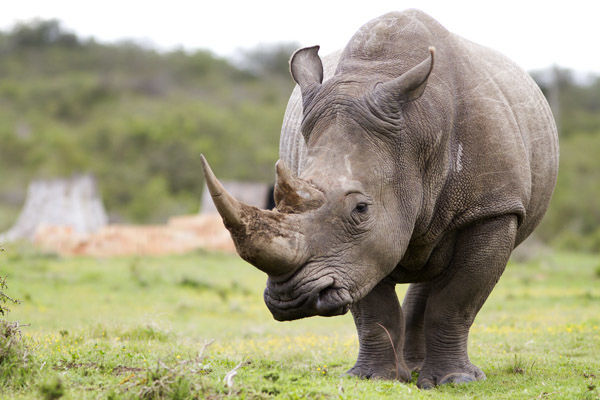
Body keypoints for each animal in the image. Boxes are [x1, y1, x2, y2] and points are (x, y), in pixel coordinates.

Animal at [200, 9, 556, 388]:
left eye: (360, 208)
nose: (291, 300)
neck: (417, 133)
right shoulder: (355, 254)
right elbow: (374, 309)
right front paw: (373, 378)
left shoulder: (493, 208)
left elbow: (456, 301)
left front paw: (456, 381)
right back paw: (410, 369)